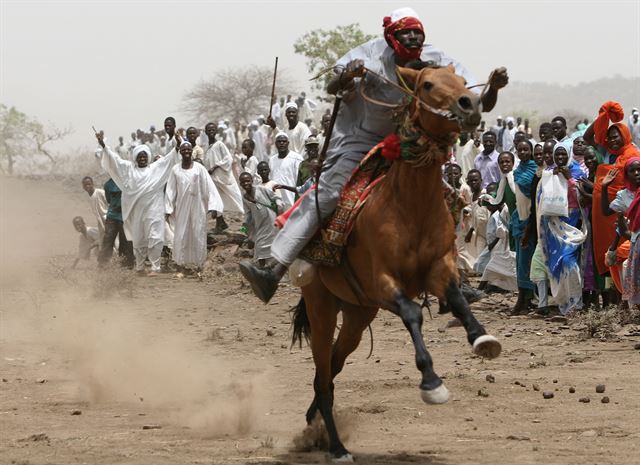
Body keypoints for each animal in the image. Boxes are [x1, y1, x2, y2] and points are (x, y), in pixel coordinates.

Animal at [292, 64, 502, 460]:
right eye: (427, 84)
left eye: (462, 81)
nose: (469, 105)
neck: (410, 206)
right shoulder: (385, 282)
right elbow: (413, 313)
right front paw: (432, 382)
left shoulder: (438, 269)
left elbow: (459, 300)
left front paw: (482, 338)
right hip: (323, 308)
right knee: (324, 374)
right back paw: (337, 446)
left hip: (358, 316)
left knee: (330, 370)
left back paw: (314, 422)